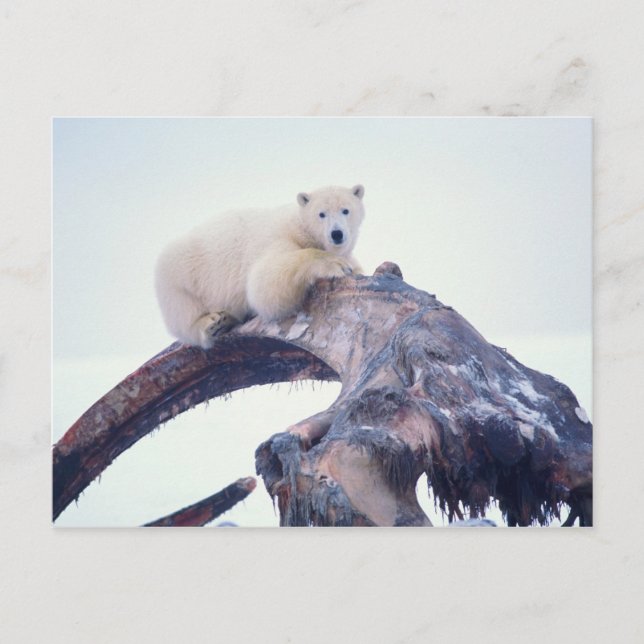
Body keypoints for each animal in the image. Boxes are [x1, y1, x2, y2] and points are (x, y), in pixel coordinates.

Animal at [155, 184, 365, 348]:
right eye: (321, 214)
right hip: (181, 273)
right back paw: (213, 323)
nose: (337, 234)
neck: (300, 228)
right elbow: (263, 284)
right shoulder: (276, 238)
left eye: (345, 210)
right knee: (183, 313)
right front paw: (335, 264)